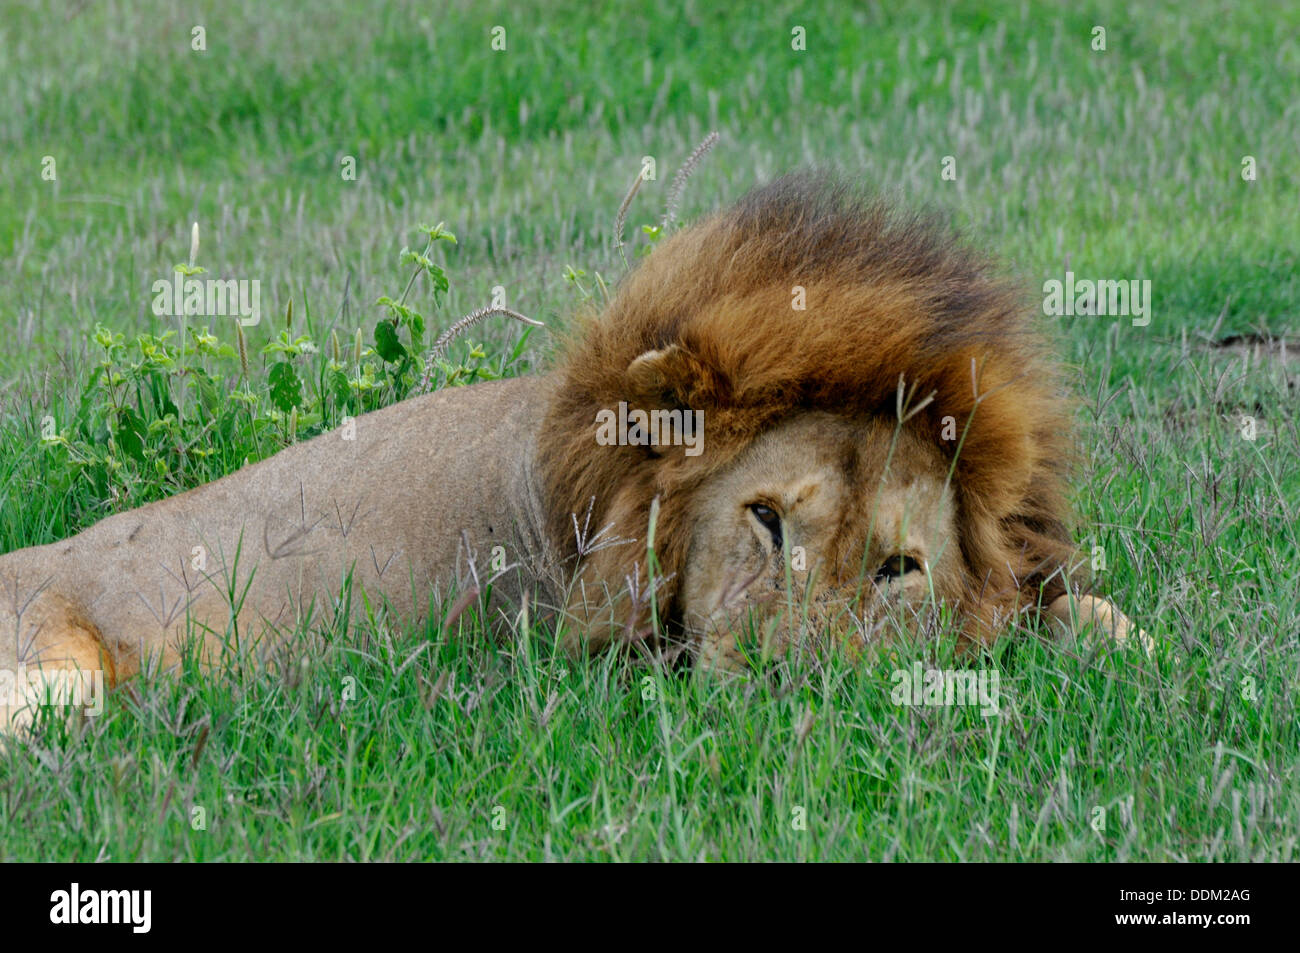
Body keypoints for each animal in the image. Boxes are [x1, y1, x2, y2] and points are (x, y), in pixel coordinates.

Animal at [0, 174, 1138, 733]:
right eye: (765, 519)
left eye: (899, 569)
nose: (790, 688)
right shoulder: (588, 650)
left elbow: (1095, 619)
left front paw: (1101, 634)